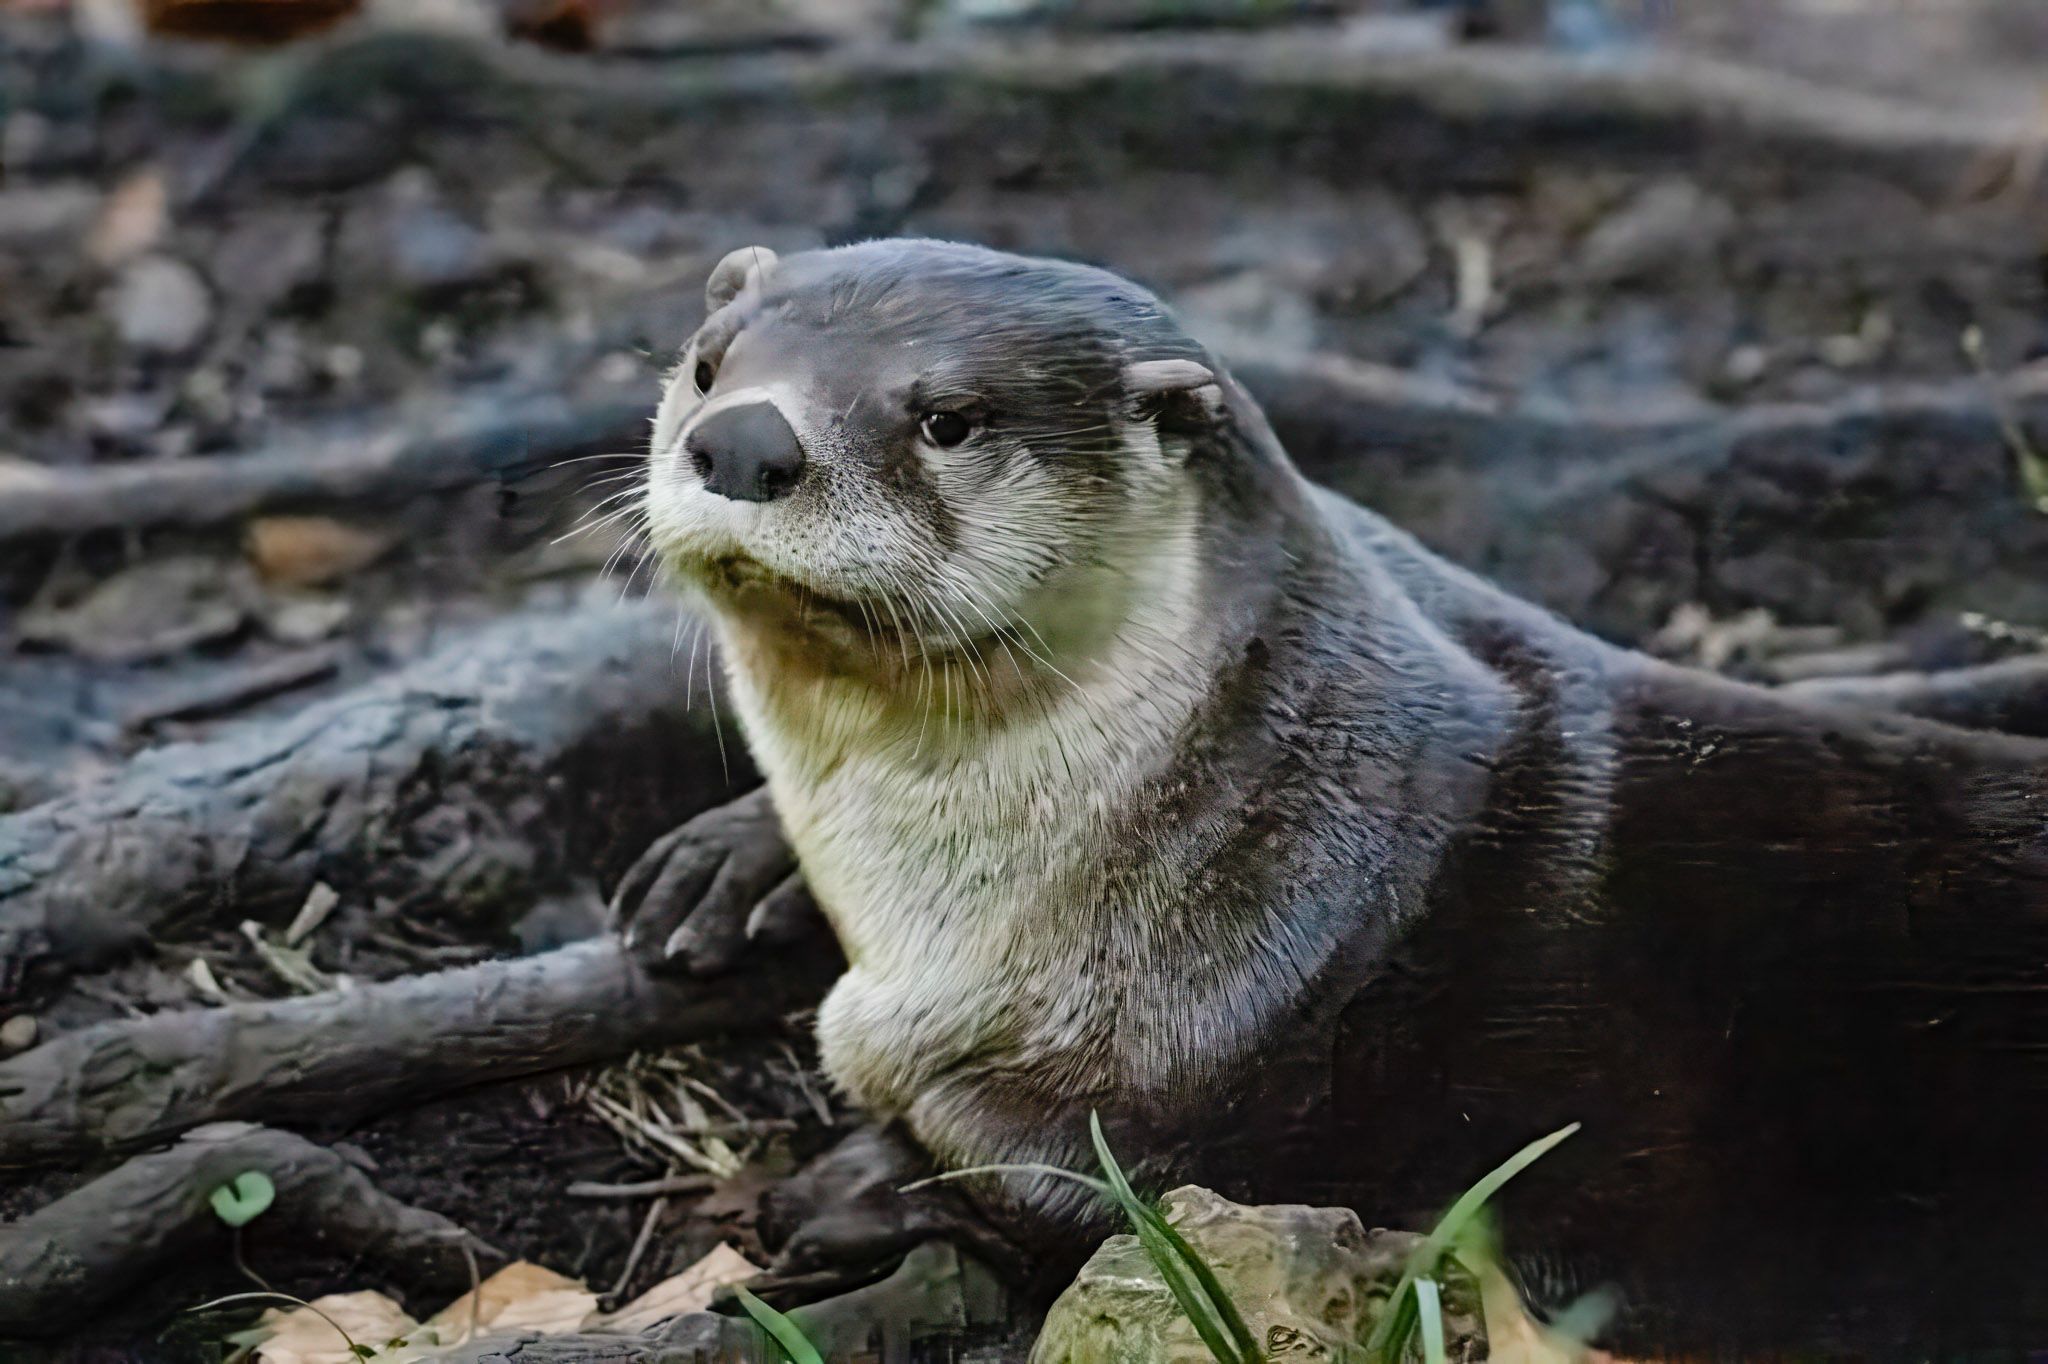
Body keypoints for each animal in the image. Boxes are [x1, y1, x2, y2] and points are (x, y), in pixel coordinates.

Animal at [615, 239, 2048, 1354]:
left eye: (946, 419)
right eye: (707, 363)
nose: (739, 437)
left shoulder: (1236, 1081)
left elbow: (1072, 1177)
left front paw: (851, 1187)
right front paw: (731, 861)